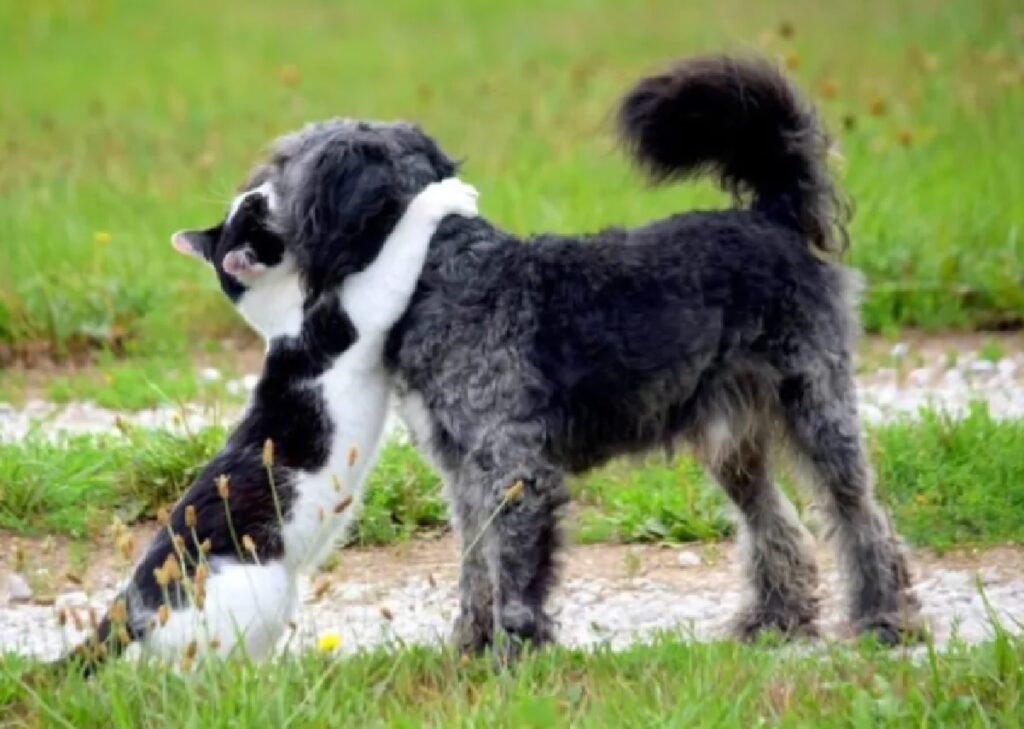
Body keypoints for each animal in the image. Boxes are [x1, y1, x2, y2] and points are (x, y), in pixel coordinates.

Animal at [66, 175, 477, 667]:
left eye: (249, 202)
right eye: (256, 213)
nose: (261, 189)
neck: (280, 318)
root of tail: (131, 607)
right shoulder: (350, 318)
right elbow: (392, 258)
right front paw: (441, 195)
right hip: (262, 592)